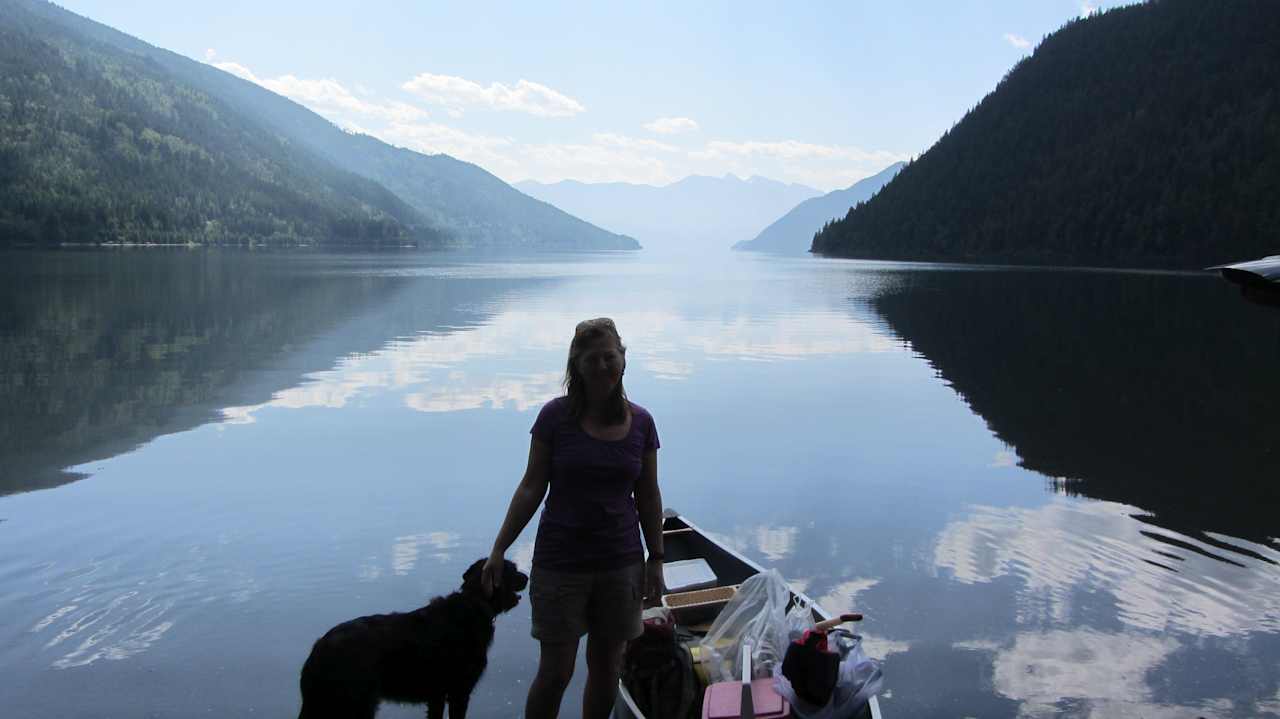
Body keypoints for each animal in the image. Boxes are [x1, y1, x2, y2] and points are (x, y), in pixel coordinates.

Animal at [300, 555, 529, 716]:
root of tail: (317, 649)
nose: (527, 577)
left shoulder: (437, 695)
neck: (474, 603)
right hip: (356, 703)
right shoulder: (459, 691)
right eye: (512, 570)